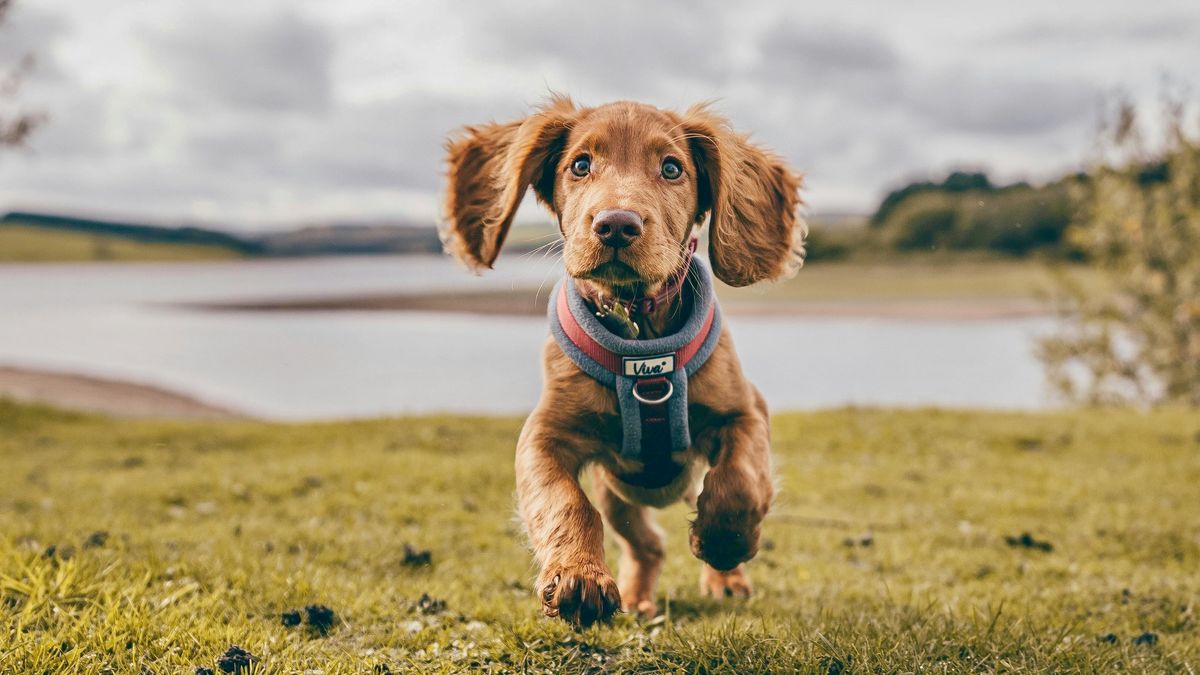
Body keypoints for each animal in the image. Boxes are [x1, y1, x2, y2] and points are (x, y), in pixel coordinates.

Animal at [444, 96, 806, 624]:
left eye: (672, 168)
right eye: (580, 165)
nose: (616, 225)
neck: (640, 335)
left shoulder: (746, 411)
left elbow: (739, 481)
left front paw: (723, 543)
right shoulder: (544, 436)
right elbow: (564, 501)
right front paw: (579, 577)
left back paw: (726, 580)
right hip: (617, 495)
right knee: (646, 544)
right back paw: (637, 597)